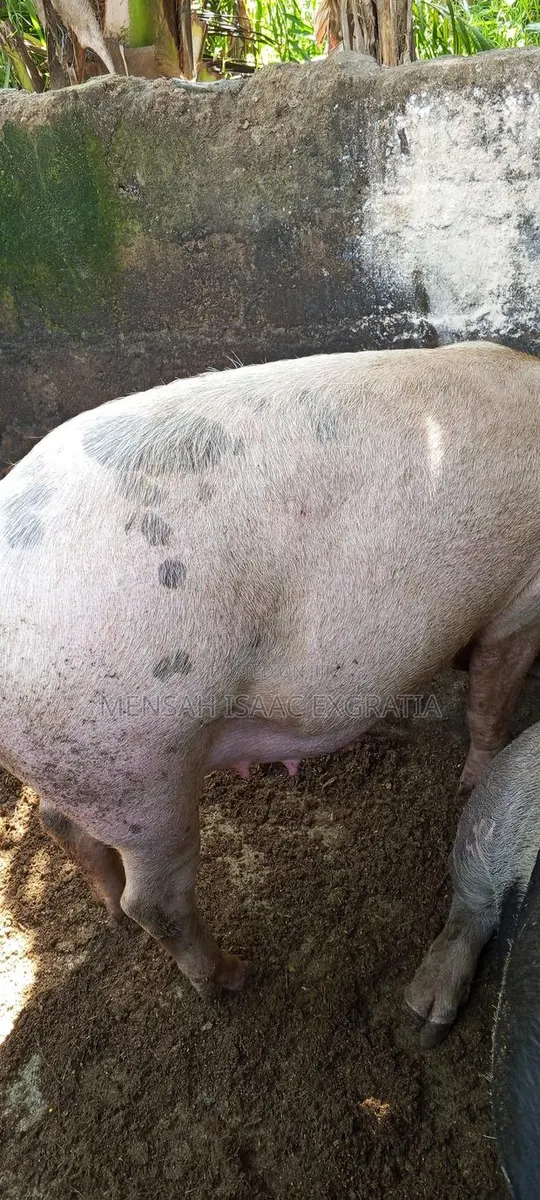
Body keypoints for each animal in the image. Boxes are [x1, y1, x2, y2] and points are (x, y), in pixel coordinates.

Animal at [2, 339, 540, 997]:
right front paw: (470, 786)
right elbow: (492, 702)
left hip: (82, 764)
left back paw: (112, 916)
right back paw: (231, 978)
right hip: (137, 767)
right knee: (156, 899)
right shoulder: (522, 599)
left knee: (59, 824)